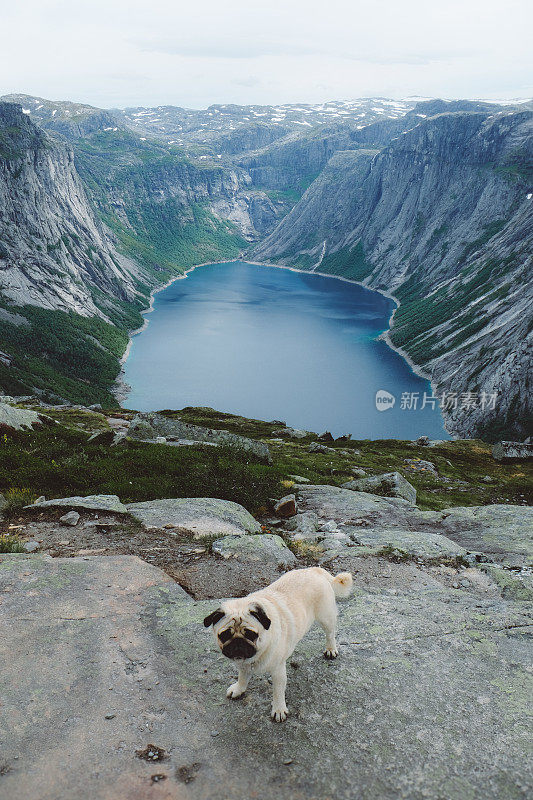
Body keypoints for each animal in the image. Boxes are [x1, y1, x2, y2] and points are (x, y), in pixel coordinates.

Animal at [202, 564, 352, 720]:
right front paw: (239, 688)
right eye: (224, 635)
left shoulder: (278, 671)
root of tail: (314, 569)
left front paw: (279, 709)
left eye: (250, 634)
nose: (238, 642)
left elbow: (278, 692)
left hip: (326, 618)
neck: (257, 654)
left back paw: (331, 649)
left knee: (330, 634)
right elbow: (242, 678)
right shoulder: (243, 665)